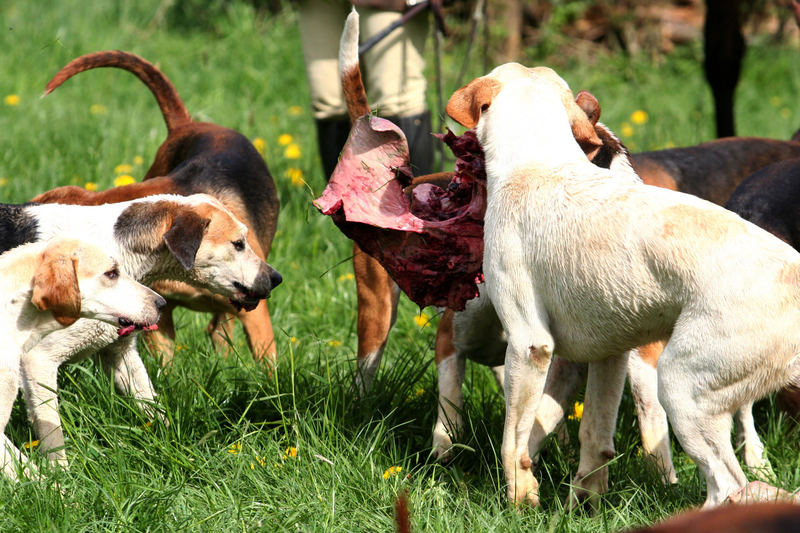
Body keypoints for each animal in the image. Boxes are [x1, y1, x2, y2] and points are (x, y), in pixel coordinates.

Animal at [446, 63, 800, 508]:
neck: (539, 162)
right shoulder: (609, 354)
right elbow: (591, 437)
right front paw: (582, 506)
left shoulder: (530, 346)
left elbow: (514, 442)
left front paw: (520, 501)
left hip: (680, 386)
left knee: (728, 485)